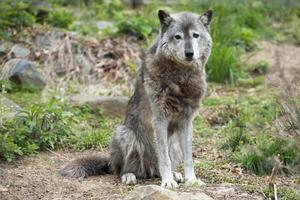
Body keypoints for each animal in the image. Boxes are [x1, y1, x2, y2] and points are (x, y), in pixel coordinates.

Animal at [59, 8, 213, 188]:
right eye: (178, 36)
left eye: (195, 35)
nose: (189, 53)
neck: (181, 78)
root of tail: (149, 170)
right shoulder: (159, 120)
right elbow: (164, 158)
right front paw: (167, 182)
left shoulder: (187, 121)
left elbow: (188, 157)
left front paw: (192, 180)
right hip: (125, 134)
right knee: (121, 170)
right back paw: (129, 176)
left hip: (173, 144)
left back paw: (175, 174)